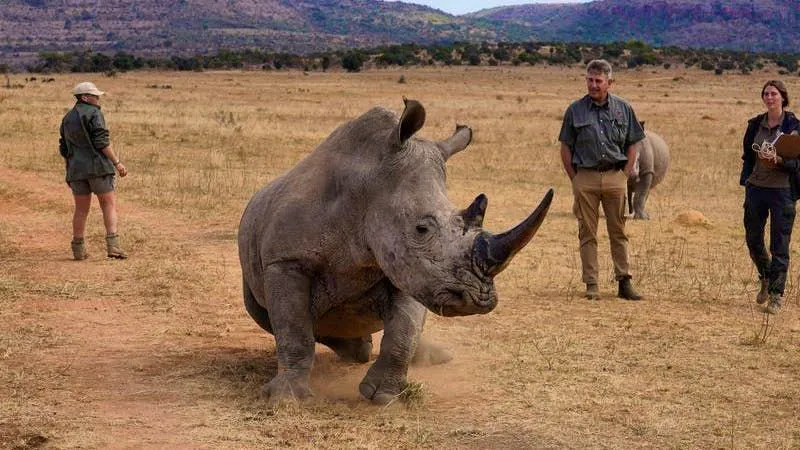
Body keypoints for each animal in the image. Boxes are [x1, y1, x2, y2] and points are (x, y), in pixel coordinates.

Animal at [238, 99, 553, 405]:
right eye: (421, 229)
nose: (479, 300)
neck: (366, 190)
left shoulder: (411, 268)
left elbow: (404, 329)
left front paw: (384, 396)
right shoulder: (286, 261)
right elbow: (294, 331)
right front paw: (285, 399)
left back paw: (426, 356)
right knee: (269, 317)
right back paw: (358, 349)